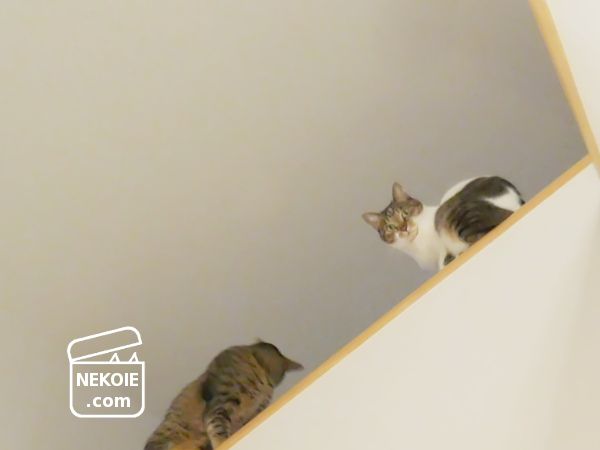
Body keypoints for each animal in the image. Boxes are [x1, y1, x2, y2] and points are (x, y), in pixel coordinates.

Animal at [362, 177, 524, 271]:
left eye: (405, 213)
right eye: (390, 227)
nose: (404, 228)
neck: (417, 245)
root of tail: (518, 202)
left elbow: (443, 257)